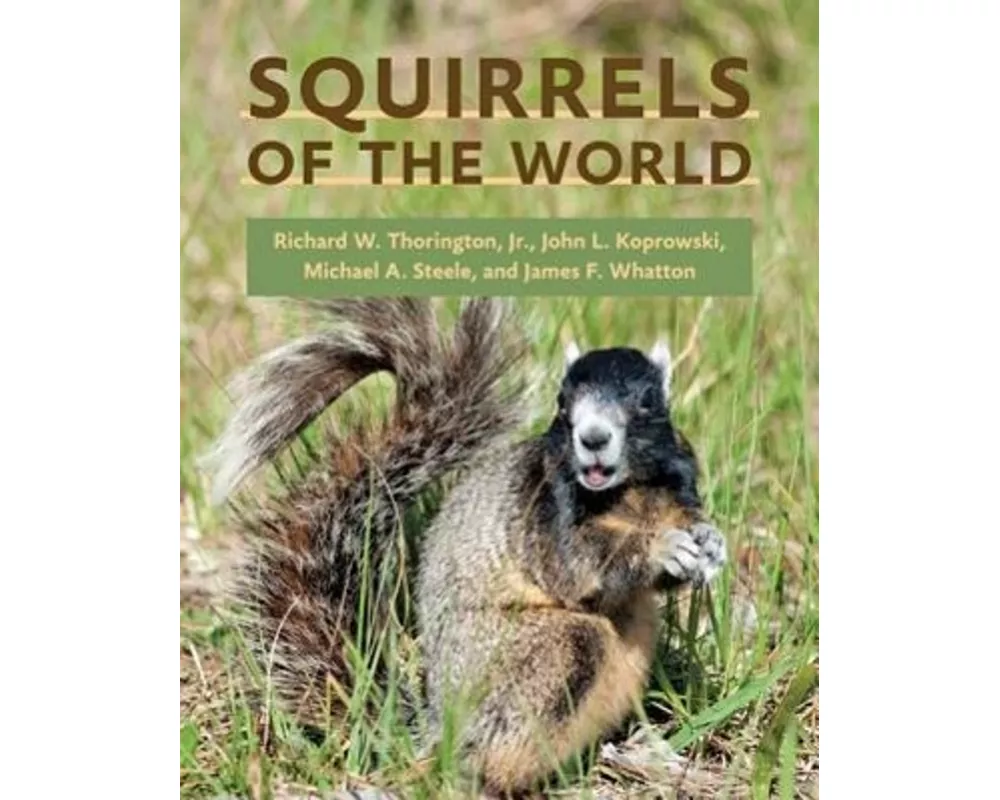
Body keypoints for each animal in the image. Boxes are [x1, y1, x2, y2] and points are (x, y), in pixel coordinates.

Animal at [205, 298, 726, 796]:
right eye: (563, 403)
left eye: (647, 401)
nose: (593, 437)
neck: (631, 492)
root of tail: (442, 729)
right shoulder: (546, 515)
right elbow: (579, 566)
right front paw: (661, 547)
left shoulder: (677, 484)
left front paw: (710, 544)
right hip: (548, 654)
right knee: (492, 752)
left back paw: (635, 750)